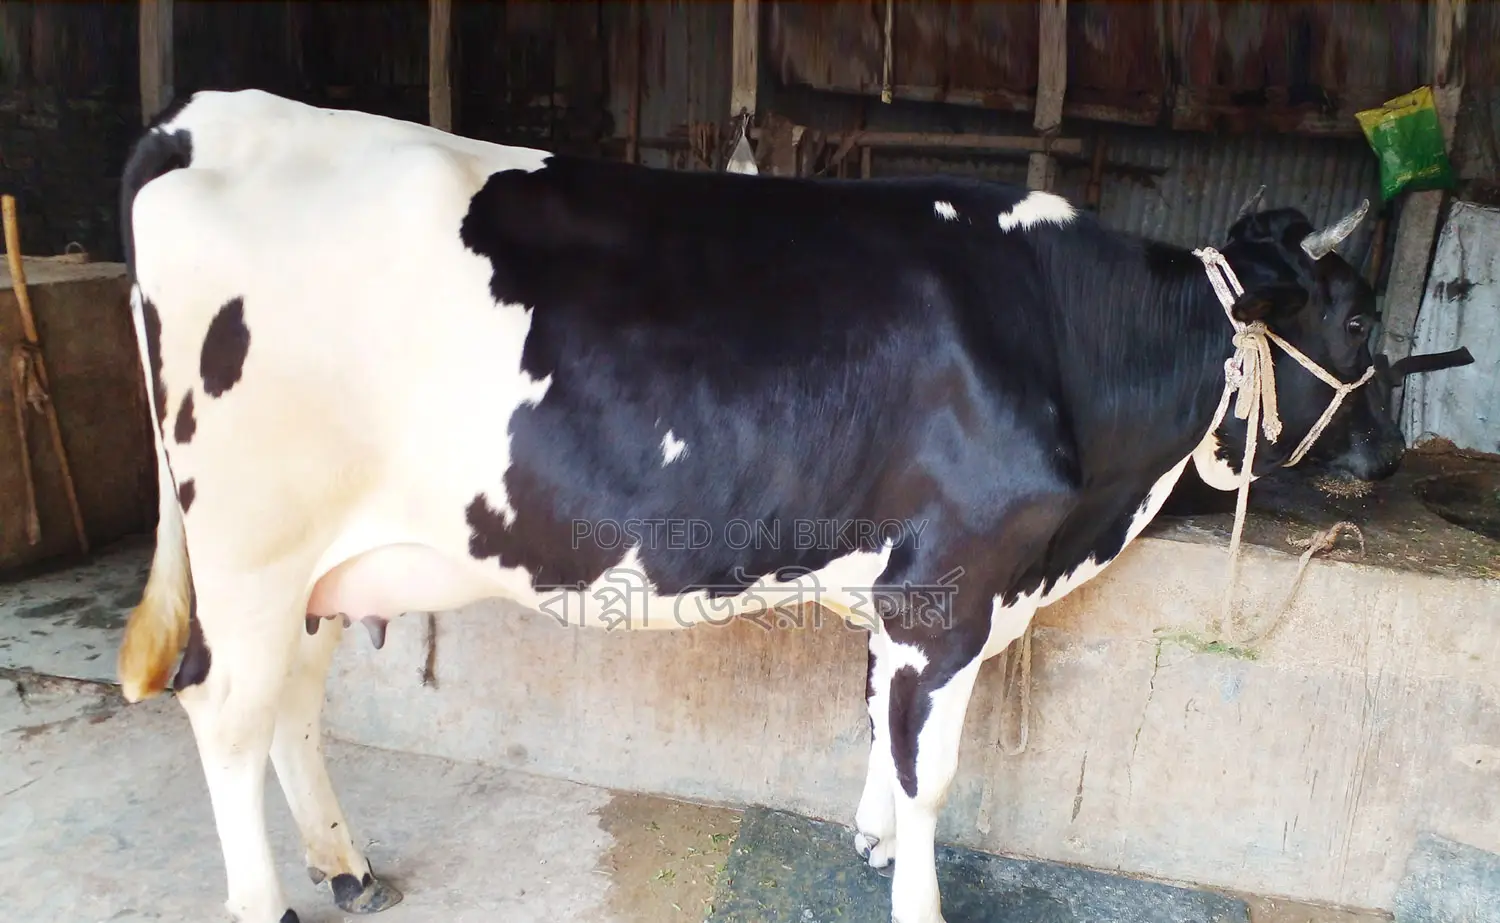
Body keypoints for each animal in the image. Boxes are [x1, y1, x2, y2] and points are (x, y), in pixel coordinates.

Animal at [115, 88, 1403, 923]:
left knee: (294, 703)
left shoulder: (905, 588)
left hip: (321, 562)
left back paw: (347, 868)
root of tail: (209, 118)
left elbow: (877, 723)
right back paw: (268, 900)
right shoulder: (951, 583)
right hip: (251, 545)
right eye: (1358, 320)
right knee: (225, 714)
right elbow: (929, 766)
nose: (1390, 455)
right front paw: (916, 890)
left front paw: (871, 838)